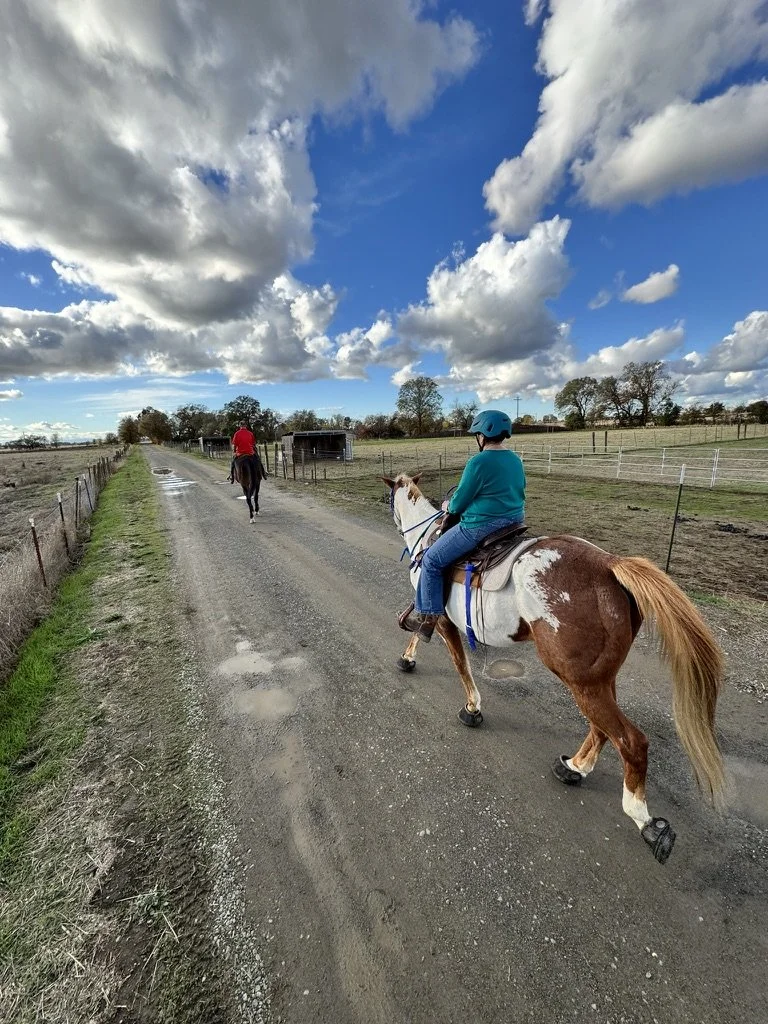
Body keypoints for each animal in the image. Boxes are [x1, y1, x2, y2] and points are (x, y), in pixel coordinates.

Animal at [383, 473, 725, 864]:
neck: (428, 538)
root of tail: (609, 564)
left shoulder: (440, 621)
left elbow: (458, 662)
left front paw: (471, 707)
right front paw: (408, 658)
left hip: (578, 677)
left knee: (630, 740)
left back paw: (646, 821)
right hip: (598, 677)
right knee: (602, 727)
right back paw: (574, 767)